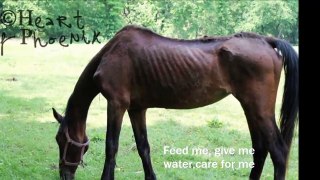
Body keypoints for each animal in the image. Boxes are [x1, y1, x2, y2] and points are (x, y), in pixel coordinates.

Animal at [52, 25, 298, 180]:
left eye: (60, 139)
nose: (64, 174)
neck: (112, 52)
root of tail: (266, 41)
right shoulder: (136, 109)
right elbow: (143, 147)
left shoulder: (116, 104)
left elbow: (111, 146)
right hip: (250, 107)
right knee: (260, 148)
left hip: (260, 109)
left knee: (278, 151)